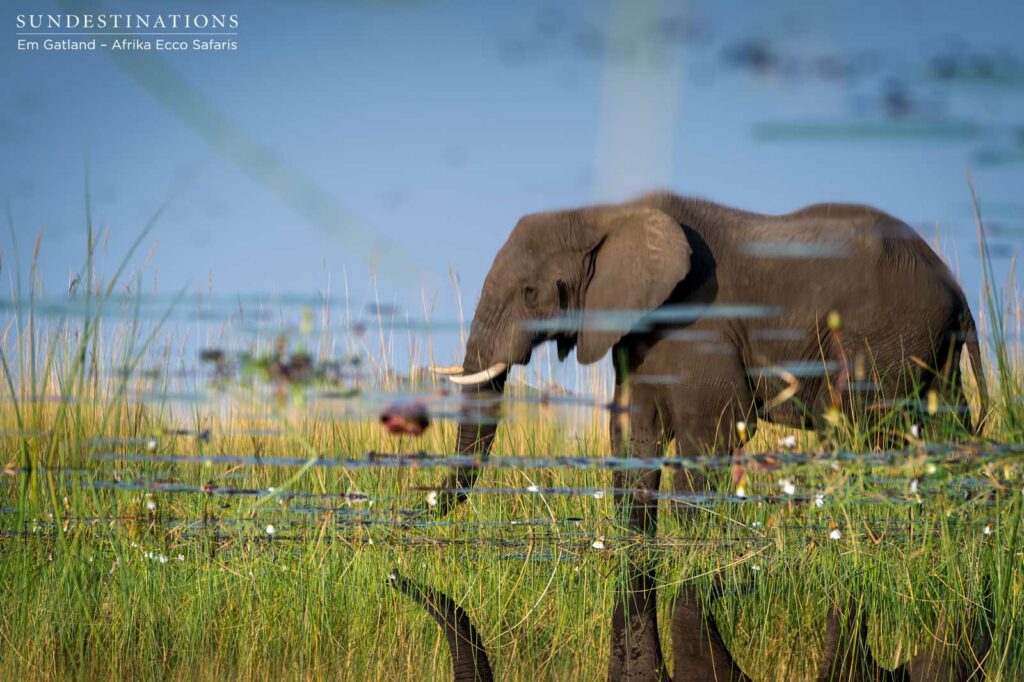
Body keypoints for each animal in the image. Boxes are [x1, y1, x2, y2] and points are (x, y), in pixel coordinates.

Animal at [431, 192, 987, 533]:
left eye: (531, 293)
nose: (426, 511)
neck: (609, 213)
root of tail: (956, 288)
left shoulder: (699, 319)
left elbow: (712, 429)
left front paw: (688, 549)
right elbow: (634, 431)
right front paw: (637, 544)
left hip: (886, 341)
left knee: (878, 431)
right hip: (930, 350)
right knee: (944, 427)